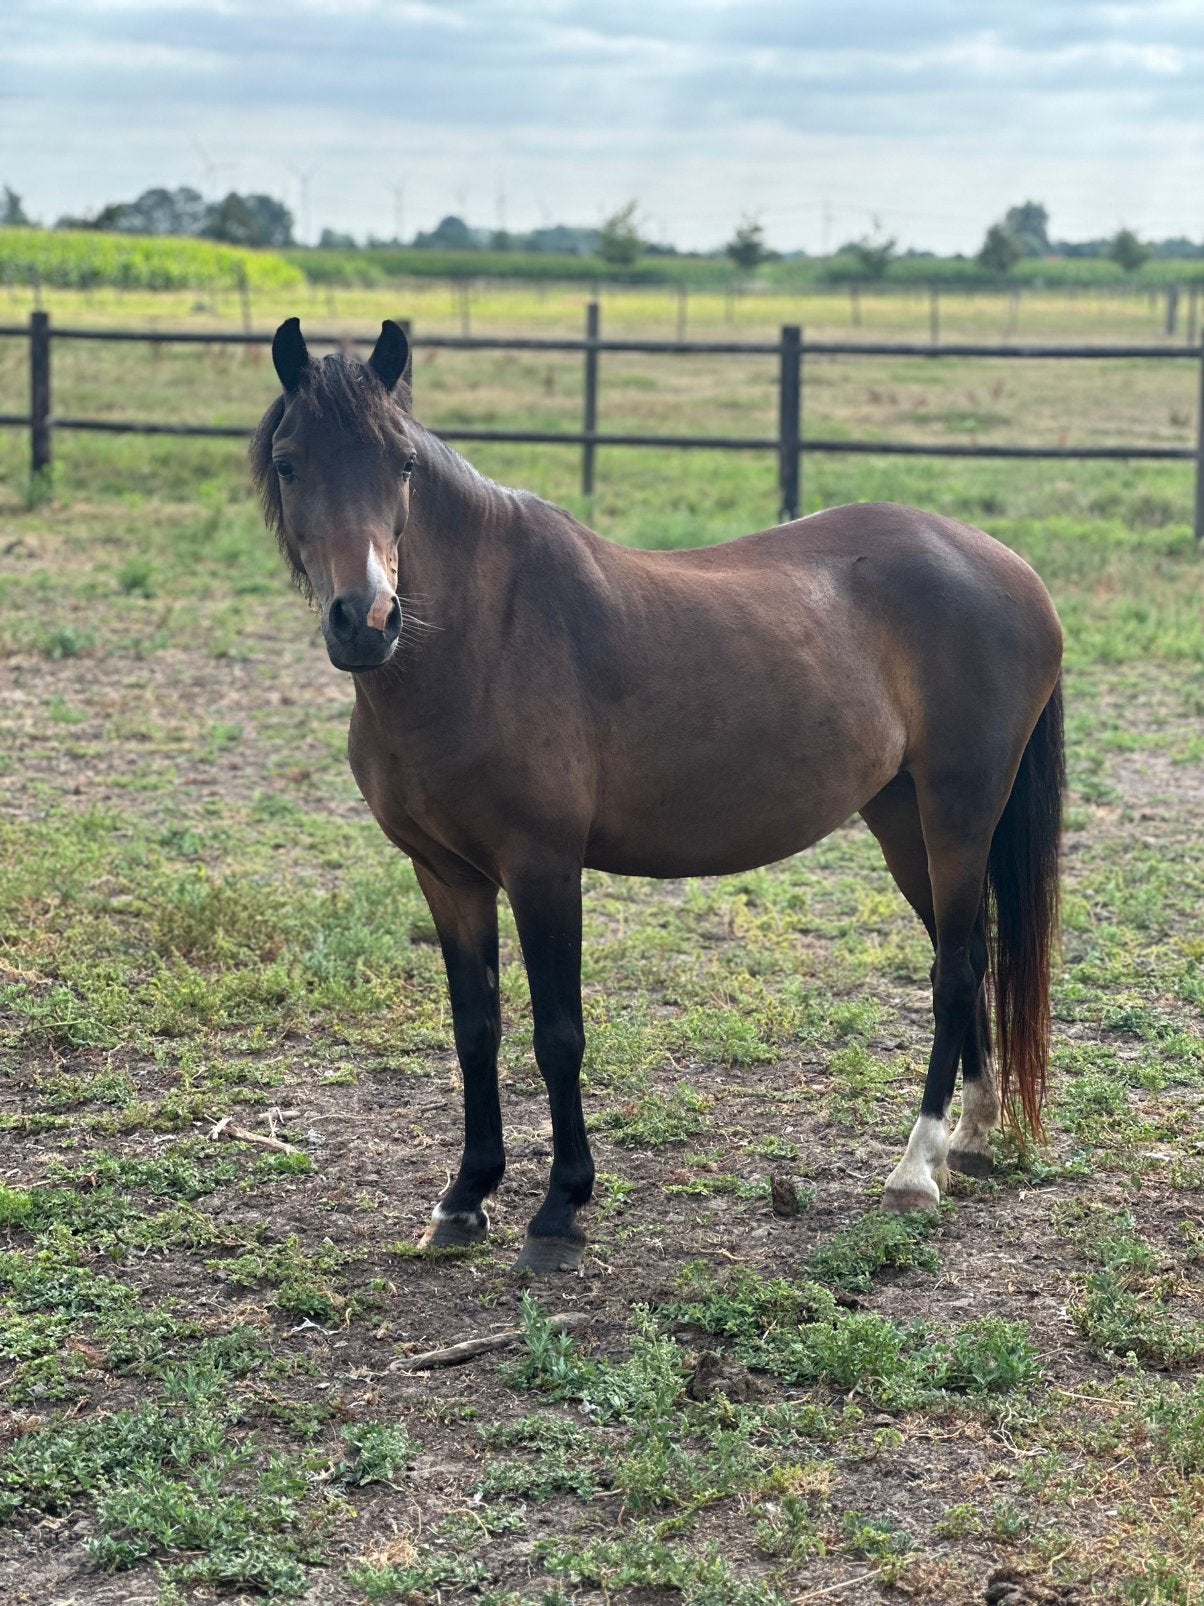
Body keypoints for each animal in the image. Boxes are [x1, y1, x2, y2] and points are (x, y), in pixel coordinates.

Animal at [251, 317, 1064, 1274]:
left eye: (403, 462)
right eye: (290, 462)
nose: (367, 620)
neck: (480, 636)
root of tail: (1010, 567)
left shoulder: (543, 868)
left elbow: (558, 1034)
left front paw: (559, 1211)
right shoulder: (447, 877)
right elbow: (475, 1029)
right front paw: (465, 1199)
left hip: (958, 809)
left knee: (954, 970)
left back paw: (915, 1169)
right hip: (903, 817)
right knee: (963, 950)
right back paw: (969, 1138)